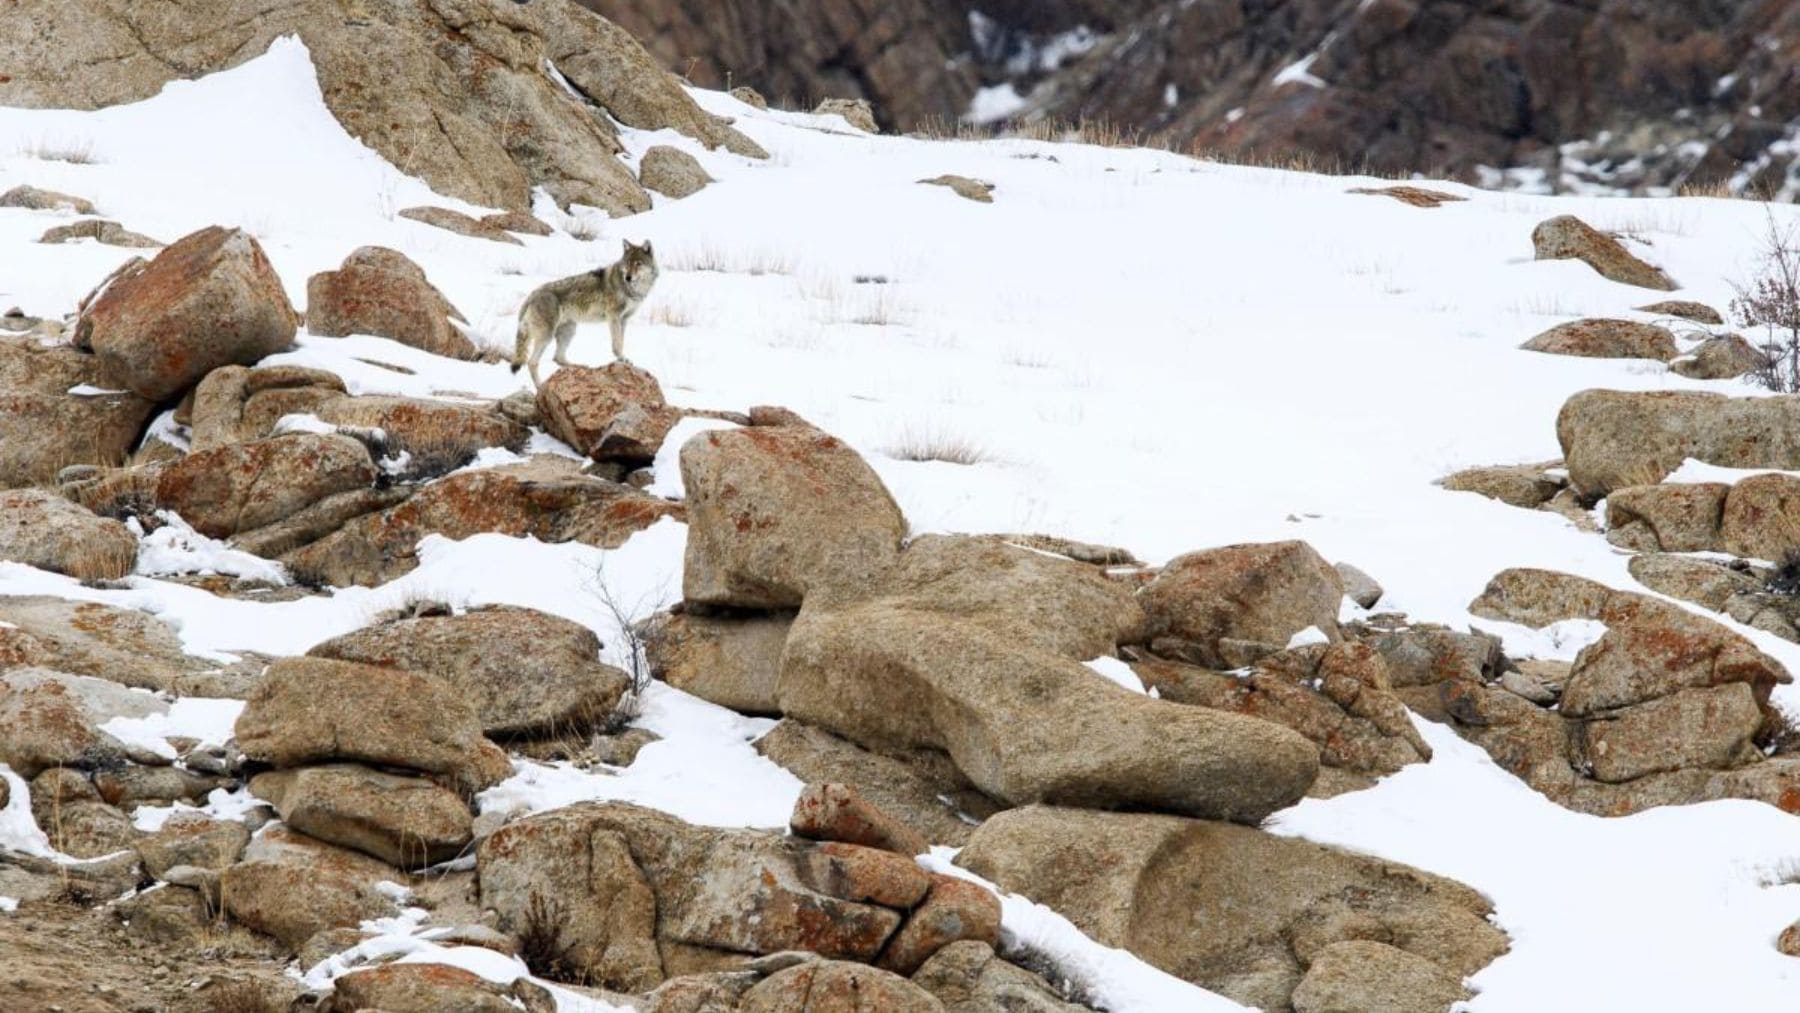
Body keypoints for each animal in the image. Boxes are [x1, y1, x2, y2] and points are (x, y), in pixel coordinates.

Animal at [511, 239, 659, 386]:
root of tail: (531, 295)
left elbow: (621, 341)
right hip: (547, 336)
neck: (634, 289)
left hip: (569, 330)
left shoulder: (624, 319)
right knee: (532, 362)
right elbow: (617, 344)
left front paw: (622, 359)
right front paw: (622, 359)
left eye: (638, 263)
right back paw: (541, 387)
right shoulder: (614, 317)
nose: (628, 277)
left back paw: (580, 368)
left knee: (558, 358)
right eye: (627, 263)